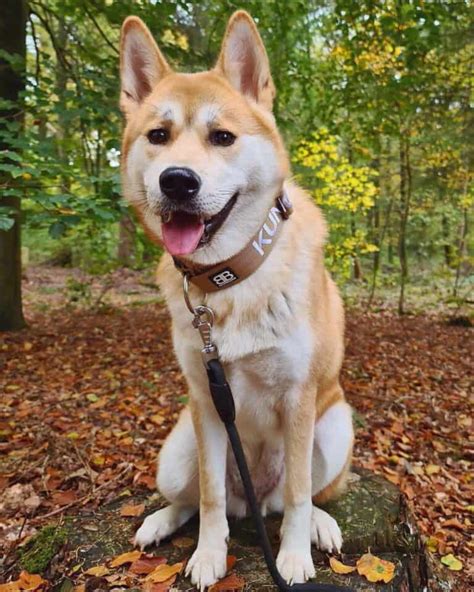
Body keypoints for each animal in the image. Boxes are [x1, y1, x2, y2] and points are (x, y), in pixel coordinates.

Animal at [120, 11, 354, 588]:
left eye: (222, 136)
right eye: (158, 136)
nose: (177, 181)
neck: (228, 281)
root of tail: (255, 501)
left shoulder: (299, 401)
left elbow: (299, 494)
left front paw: (293, 556)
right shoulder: (207, 403)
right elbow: (209, 498)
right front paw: (208, 555)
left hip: (335, 426)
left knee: (297, 497)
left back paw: (319, 527)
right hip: (177, 450)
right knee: (202, 498)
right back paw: (161, 522)